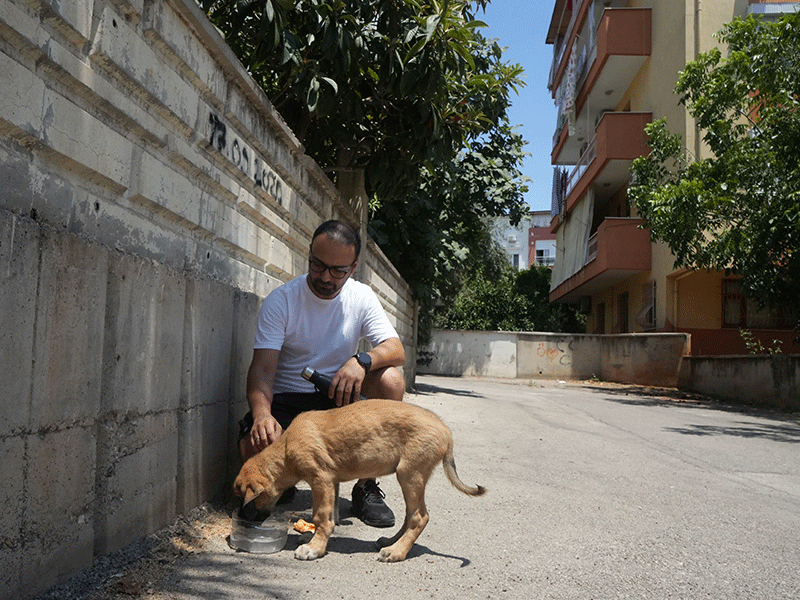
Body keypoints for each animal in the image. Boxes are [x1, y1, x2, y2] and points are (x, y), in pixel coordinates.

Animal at [234, 398, 484, 564]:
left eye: (245, 498)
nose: (243, 518)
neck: (285, 450)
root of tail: (446, 431)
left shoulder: (320, 478)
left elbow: (321, 516)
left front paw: (314, 548)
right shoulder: (332, 481)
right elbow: (331, 514)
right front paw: (315, 538)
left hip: (410, 473)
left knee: (419, 517)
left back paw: (397, 552)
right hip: (411, 478)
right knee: (410, 514)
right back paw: (390, 542)